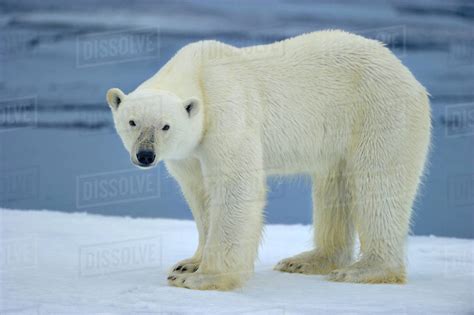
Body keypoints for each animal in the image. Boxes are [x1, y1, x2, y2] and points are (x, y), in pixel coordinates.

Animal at [105, 30, 432, 292]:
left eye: (165, 126)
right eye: (132, 122)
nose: (145, 155)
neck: (196, 71)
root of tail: (410, 77)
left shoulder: (228, 110)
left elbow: (236, 186)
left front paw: (201, 278)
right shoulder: (189, 152)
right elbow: (200, 194)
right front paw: (188, 264)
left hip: (379, 112)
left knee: (378, 184)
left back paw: (365, 270)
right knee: (334, 186)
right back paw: (308, 261)